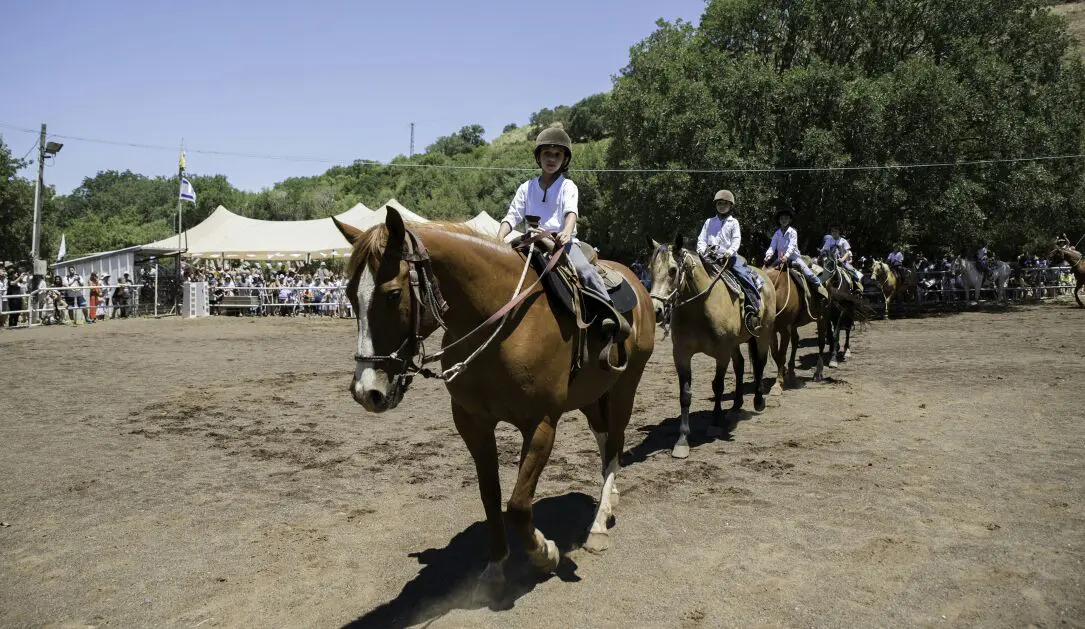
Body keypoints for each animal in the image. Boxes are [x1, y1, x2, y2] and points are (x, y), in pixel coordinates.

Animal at [329, 209, 651, 598]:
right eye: (349, 293)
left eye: (392, 295)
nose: (367, 391)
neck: (500, 322)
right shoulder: (473, 423)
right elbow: (490, 497)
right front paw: (495, 569)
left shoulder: (541, 423)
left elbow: (517, 504)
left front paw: (545, 553)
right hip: (592, 395)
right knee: (605, 442)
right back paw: (610, 499)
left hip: (624, 388)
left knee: (616, 443)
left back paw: (599, 525)